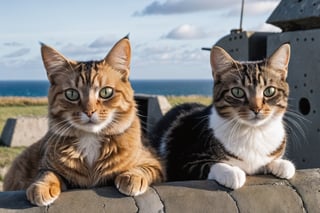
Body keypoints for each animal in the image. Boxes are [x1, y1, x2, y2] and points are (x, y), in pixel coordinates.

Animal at [3, 36, 165, 206]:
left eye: (106, 92)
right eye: (72, 94)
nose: (89, 111)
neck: (90, 139)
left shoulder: (155, 163)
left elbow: (143, 168)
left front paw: (132, 176)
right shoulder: (48, 166)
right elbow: (47, 173)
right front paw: (41, 186)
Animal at [151, 44, 296, 189]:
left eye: (269, 91)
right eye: (237, 92)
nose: (256, 109)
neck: (253, 132)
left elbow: (273, 162)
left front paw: (283, 164)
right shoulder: (180, 161)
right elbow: (210, 165)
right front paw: (231, 172)